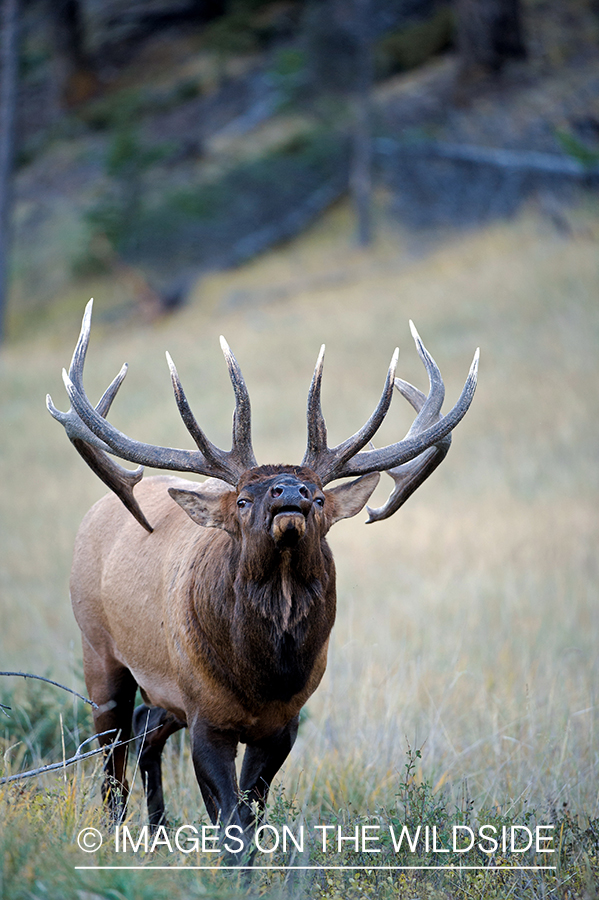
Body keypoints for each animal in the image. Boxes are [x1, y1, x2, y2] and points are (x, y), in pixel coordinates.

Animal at [47, 300, 478, 853]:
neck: (264, 677)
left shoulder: (283, 723)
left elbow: (251, 816)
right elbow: (230, 820)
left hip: (165, 694)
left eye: (321, 497)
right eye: (244, 499)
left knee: (145, 733)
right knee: (112, 760)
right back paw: (116, 836)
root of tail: (97, 510)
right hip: (99, 651)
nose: (290, 491)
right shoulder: (206, 716)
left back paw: (159, 833)